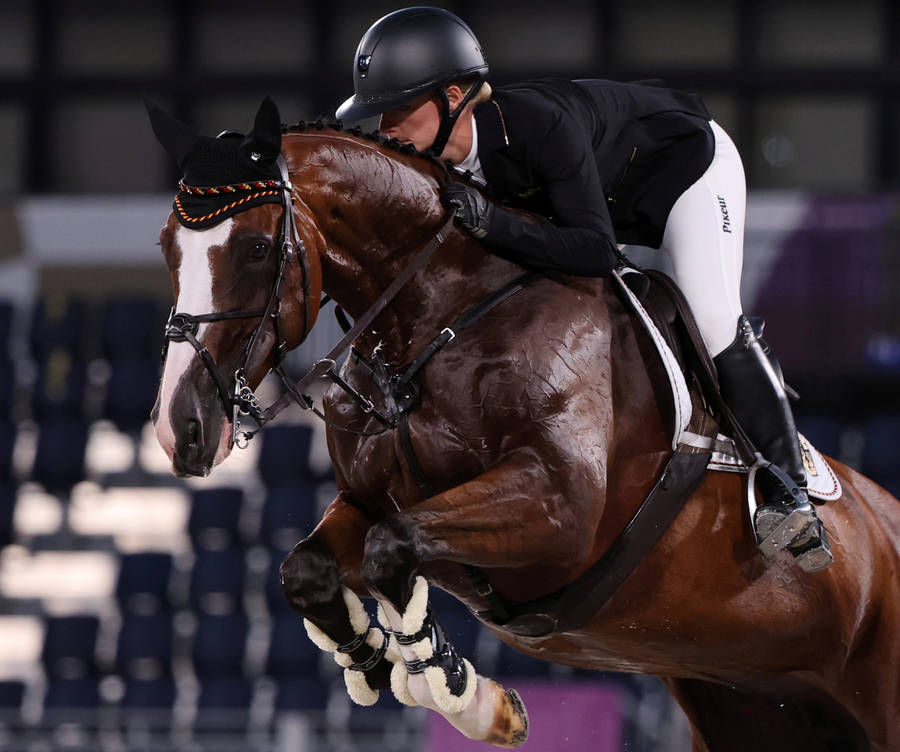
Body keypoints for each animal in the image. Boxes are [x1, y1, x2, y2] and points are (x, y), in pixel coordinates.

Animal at [147, 97, 900, 751]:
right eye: (166, 248)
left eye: (253, 249)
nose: (181, 428)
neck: (437, 320)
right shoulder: (367, 499)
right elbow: (309, 568)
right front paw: (381, 659)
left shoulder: (558, 507)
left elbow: (393, 547)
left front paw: (458, 688)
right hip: (750, 705)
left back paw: (792, 510)